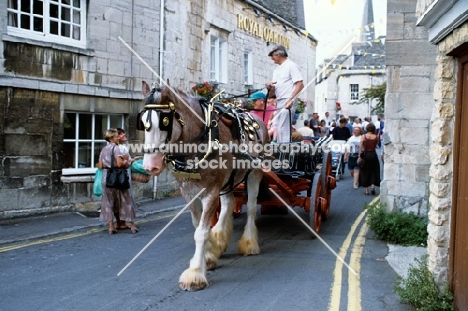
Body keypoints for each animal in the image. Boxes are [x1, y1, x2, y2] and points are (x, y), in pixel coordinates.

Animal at [141, 81, 268, 292]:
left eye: (165, 121)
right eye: (142, 122)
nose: (151, 165)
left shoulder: (210, 191)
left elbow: (200, 232)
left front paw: (195, 274)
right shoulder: (188, 191)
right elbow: (198, 224)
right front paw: (208, 255)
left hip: (254, 173)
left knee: (250, 206)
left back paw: (249, 243)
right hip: (227, 179)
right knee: (228, 202)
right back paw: (220, 237)